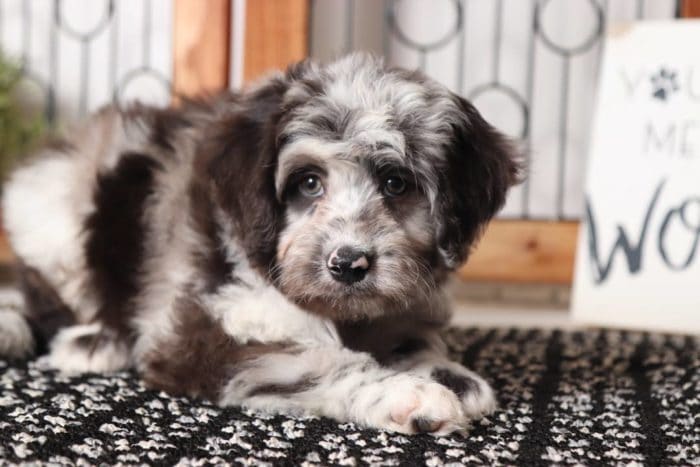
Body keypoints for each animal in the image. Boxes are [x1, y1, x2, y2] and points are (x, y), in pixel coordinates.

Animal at [0, 54, 520, 438]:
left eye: (396, 183)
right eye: (308, 183)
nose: (348, 264)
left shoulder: (408, 301)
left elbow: (416, 335)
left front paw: (447, 373)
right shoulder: (202, 327)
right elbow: (315, 362)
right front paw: (405, 393)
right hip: (63, 221)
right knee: (37, 289)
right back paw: (83, 340)